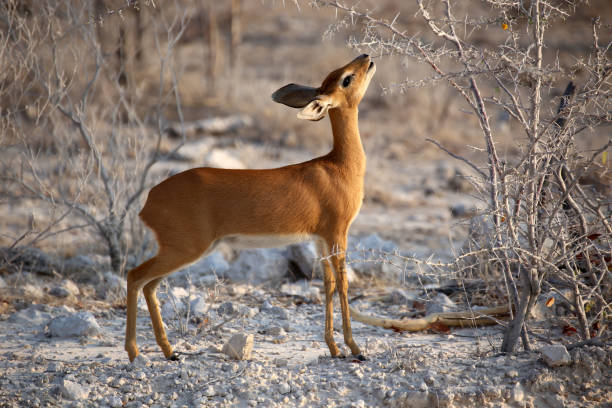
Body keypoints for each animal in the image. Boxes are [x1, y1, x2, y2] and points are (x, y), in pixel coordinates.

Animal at [126, 52, 376, 362]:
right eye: (346, 78)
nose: (366, 56)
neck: (338, 167)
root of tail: (149, 201)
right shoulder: (338, 233)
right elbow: (343, 284)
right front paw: (355, 348)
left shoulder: (320, 239)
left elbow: (327, 285)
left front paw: (333, 348)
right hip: (185, 249)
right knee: (135, 276)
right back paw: (134, 353)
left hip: (183, 250)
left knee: (149, 284)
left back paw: (169, 351)